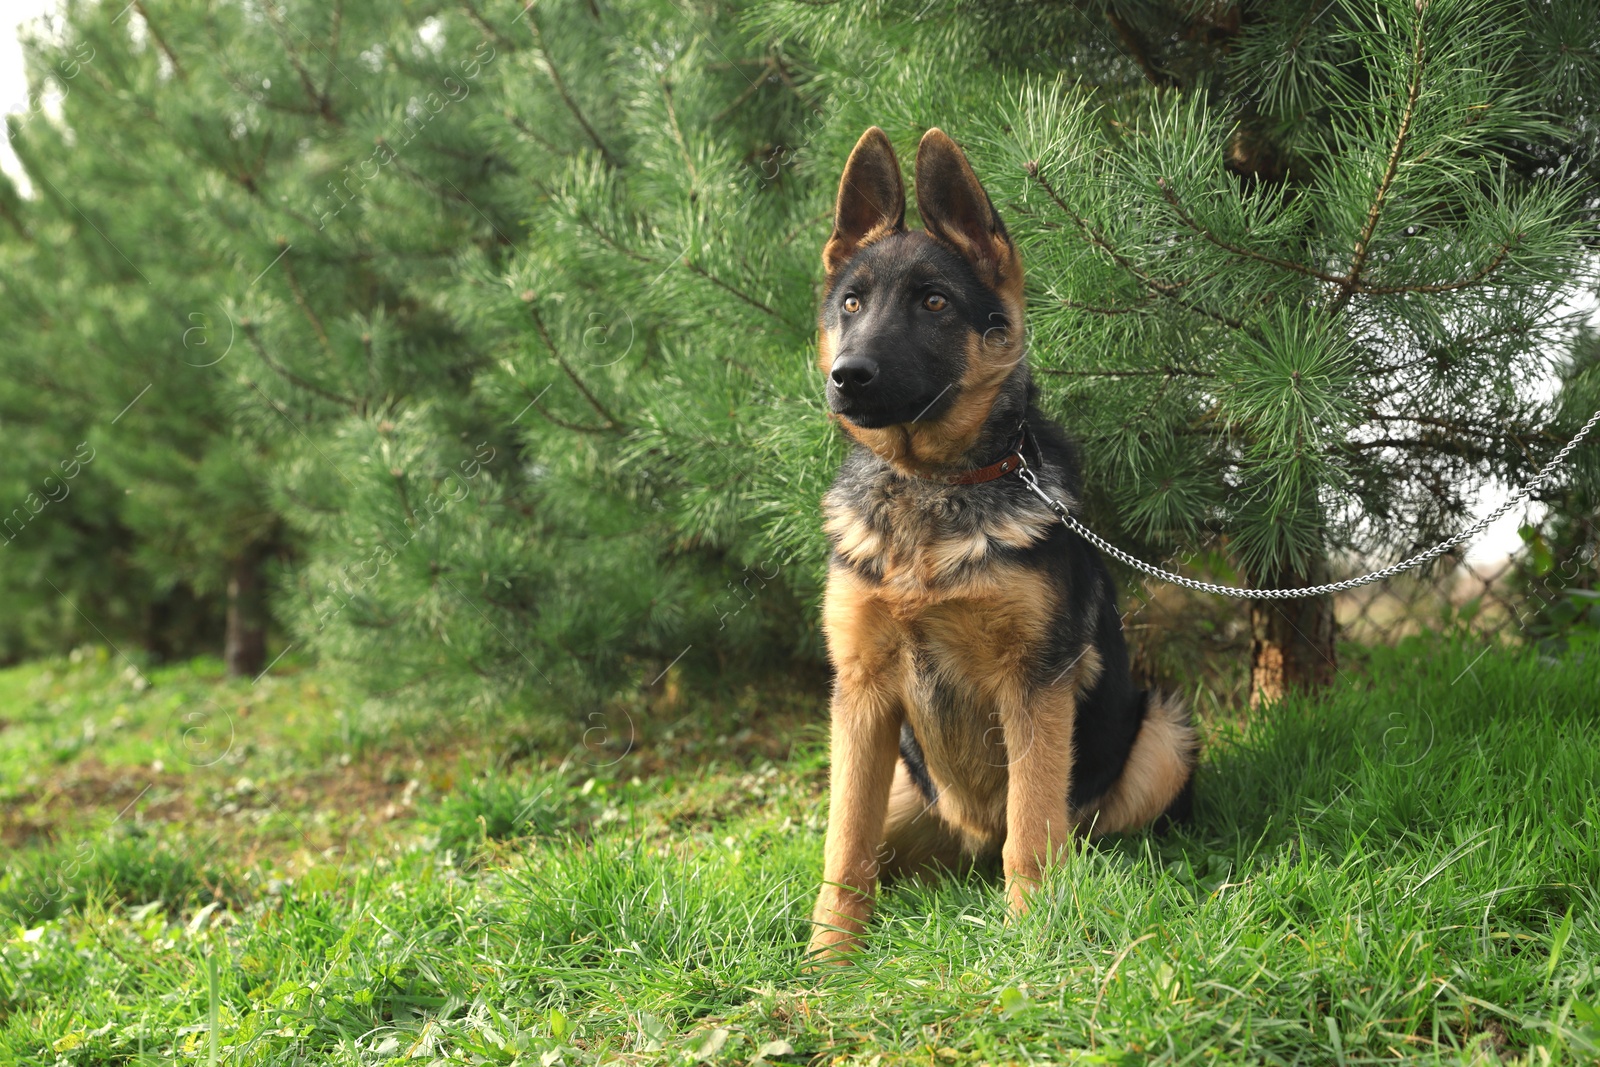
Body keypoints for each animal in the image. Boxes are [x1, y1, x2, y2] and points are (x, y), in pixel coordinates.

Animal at [806, 129, 1196, 966]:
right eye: (852, 303)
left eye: (934, 302)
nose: (846, 377)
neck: (932, 488)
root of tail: (968, 846)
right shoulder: (860, 692)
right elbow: (842, 845)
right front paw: (827, 959)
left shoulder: (1035, 685)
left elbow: (1033, 827)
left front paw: (1035, 939)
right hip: (903, 782)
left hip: (1163, 731)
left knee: (1088, 834)